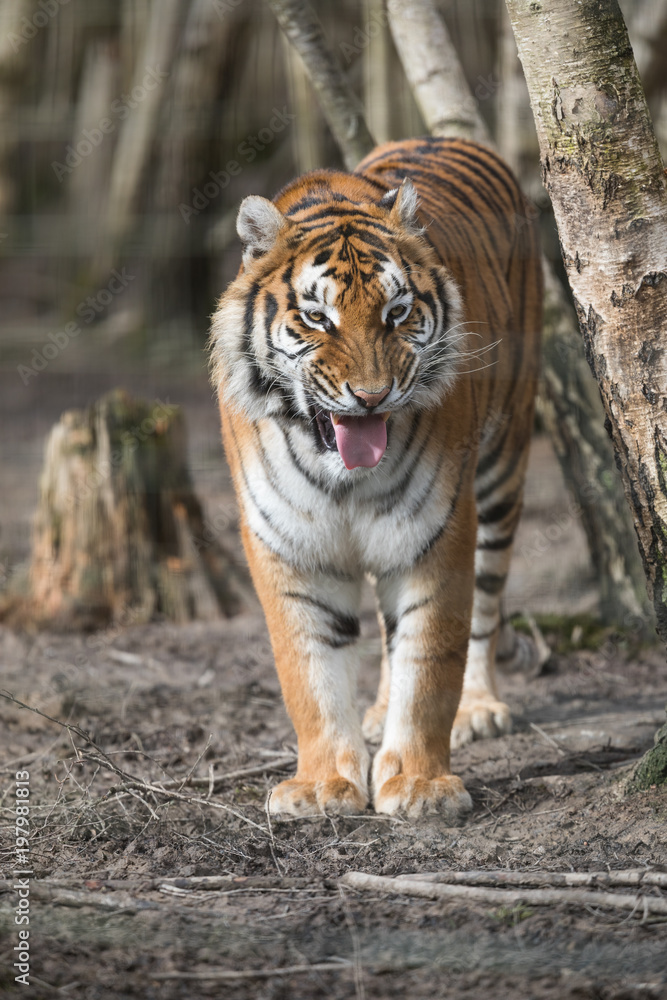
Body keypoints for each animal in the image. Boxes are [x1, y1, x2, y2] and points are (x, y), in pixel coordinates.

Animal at [209, 136, 542, 819]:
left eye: (397, 312)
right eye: (316, 317)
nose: (370, 397)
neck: (339, 475)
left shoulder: (438, 529)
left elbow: (430, 657)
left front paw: (418, 784)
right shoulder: (288, 543)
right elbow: (308, 669)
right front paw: (321, 785)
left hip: (502, 470)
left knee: (485, 604)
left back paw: (479, 708)